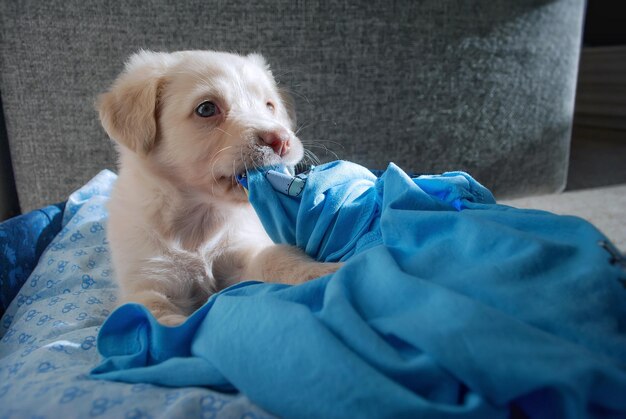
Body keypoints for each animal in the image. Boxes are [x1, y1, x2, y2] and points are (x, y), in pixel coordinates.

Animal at [98, 50, 338, 326]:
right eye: (206, 108)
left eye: (269, 105)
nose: (282, 140)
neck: (200, 217)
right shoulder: (148, 283)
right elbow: (160, 319)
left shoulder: (244, 253)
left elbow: (277, 258)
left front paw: (325, 271)